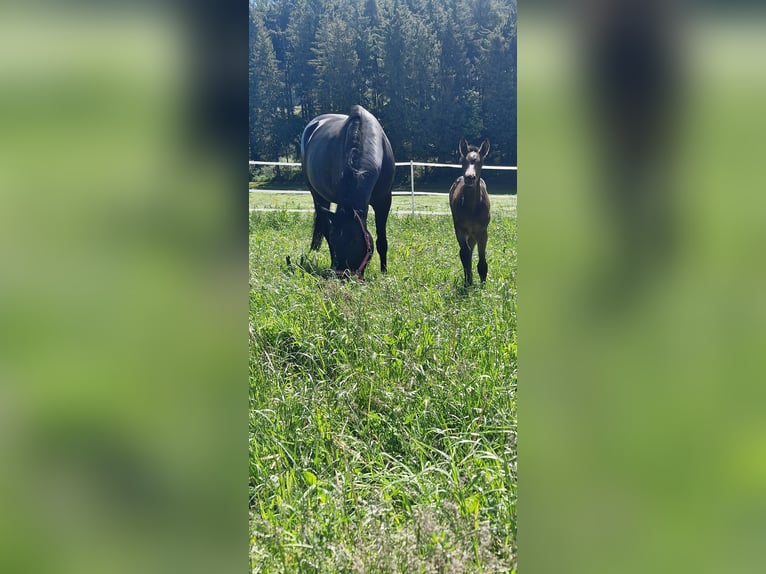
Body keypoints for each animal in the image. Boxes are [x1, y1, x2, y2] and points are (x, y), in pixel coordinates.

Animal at [300, 108, 396, 282]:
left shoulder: (384, 201)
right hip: (317, 196)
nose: (343, 276)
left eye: (354, 241)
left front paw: (384, 273)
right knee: (324, 226)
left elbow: (382, 241)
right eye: (336, 240)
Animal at [450, 137, 492, 286]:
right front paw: (468, 282)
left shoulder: (482, 232)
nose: (469, 177)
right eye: (463, 161)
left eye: (480, 162)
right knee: (466, 252)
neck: (472, 208)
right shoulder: (460, 230)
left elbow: (482, 261)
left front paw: (483, 285)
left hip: (474, 234)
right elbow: (465, 254)